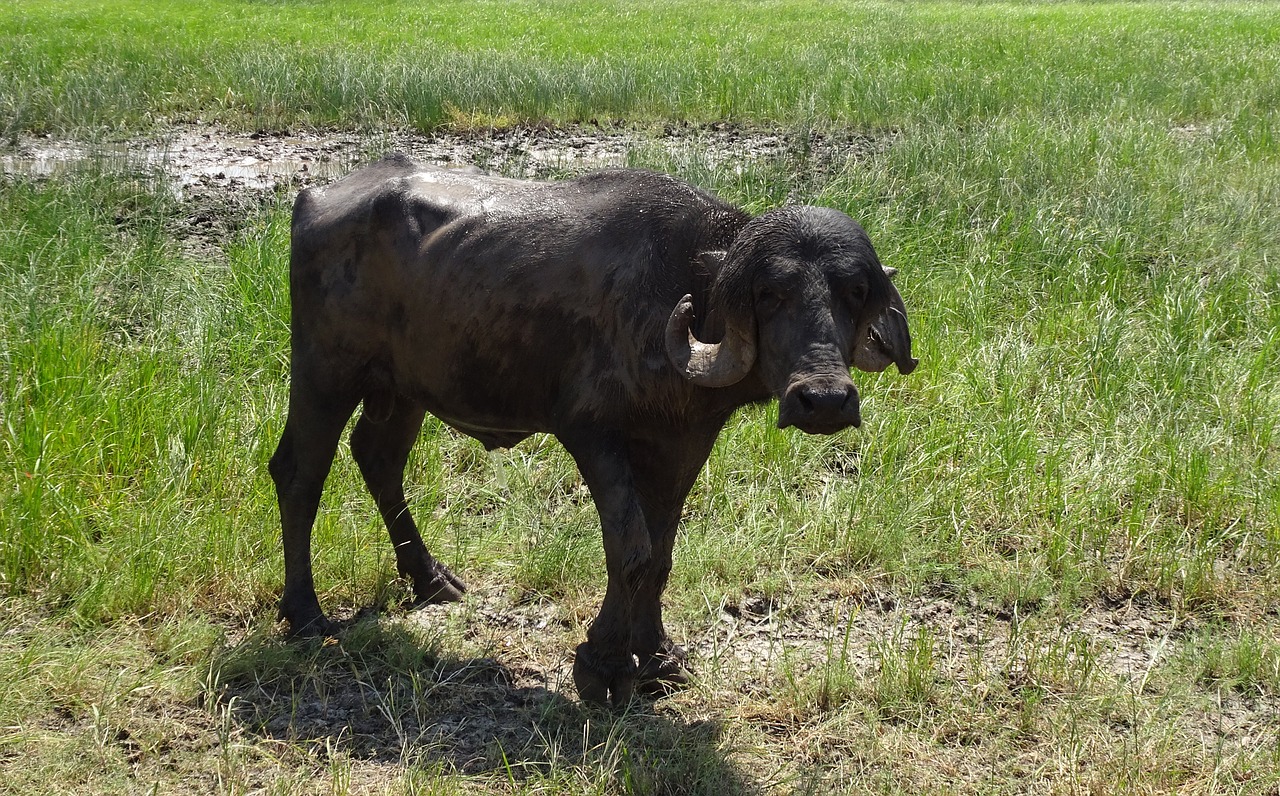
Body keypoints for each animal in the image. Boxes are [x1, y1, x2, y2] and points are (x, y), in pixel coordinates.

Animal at [270, 156, 916, 706]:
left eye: (855, 291)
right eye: (769, 293)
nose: (823, 400)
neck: (677, 289)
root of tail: (315, 198)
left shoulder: (683, 442)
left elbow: (661, 554)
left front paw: (657, 657)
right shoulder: (590, 432)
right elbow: (629, 549)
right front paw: (603, 664)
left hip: (404, 388)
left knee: (378, 457)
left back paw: (431, 580)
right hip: (325, 372)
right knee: (299, 471)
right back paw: (305, 613)